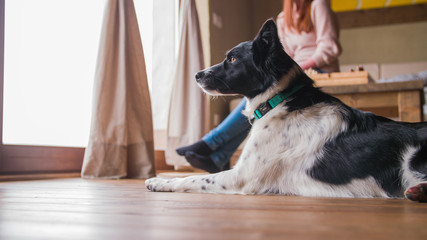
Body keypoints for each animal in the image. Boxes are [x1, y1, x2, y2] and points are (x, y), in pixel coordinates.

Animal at [146, 19, 427, 202]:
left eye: (233, 59)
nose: (196, 75)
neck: (280, 100)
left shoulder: (241, 176)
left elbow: (191, 179)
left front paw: (159, 181)